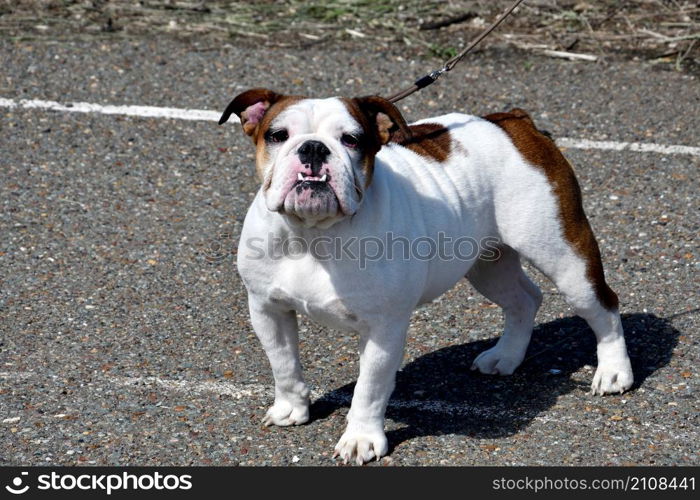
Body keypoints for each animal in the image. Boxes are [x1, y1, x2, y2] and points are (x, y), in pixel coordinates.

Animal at [219, 89, 636, 464]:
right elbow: (284, 363)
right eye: (278, 135)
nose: (313, 149)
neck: (312, 234)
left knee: (603, 306)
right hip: (487, 264)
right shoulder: (267, 310)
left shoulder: (384, 328)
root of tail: (516, 123)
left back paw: (614, 372)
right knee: (524, 300)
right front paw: (291, 408)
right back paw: (506, 356)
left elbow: (370, 388)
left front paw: (360, 439)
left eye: (351, 139)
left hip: (565, 256)